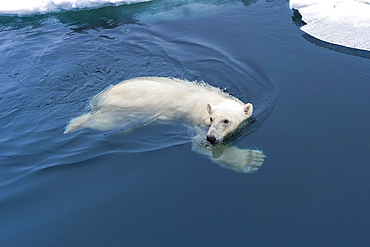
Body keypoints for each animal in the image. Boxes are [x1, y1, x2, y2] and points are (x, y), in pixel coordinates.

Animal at [64, 77, 266, 174]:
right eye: (211, 119)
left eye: (226, 120)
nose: (211, 137)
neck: (213, 100)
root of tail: (99, 98)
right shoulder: (197, 122)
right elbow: (200, 145)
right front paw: (251, 160)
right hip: (123, 111)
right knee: (102, 123)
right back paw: (72, 125)